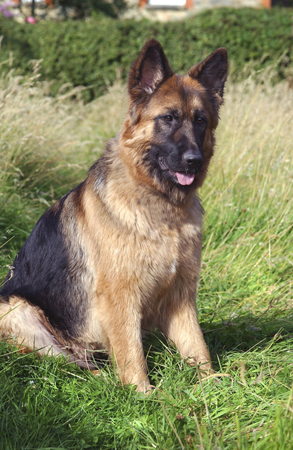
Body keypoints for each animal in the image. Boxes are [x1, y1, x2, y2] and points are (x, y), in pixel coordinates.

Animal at [0, 39, 226, 390]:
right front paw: (143, 393)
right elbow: (131, 352)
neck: (159, 206)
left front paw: (213, 384)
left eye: (200, 120)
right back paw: (103, 380)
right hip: (18, 310)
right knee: (66, 363)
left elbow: (196, 344)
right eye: (168, 118)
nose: (194, 161)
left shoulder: (181, 295)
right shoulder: (121, 297)